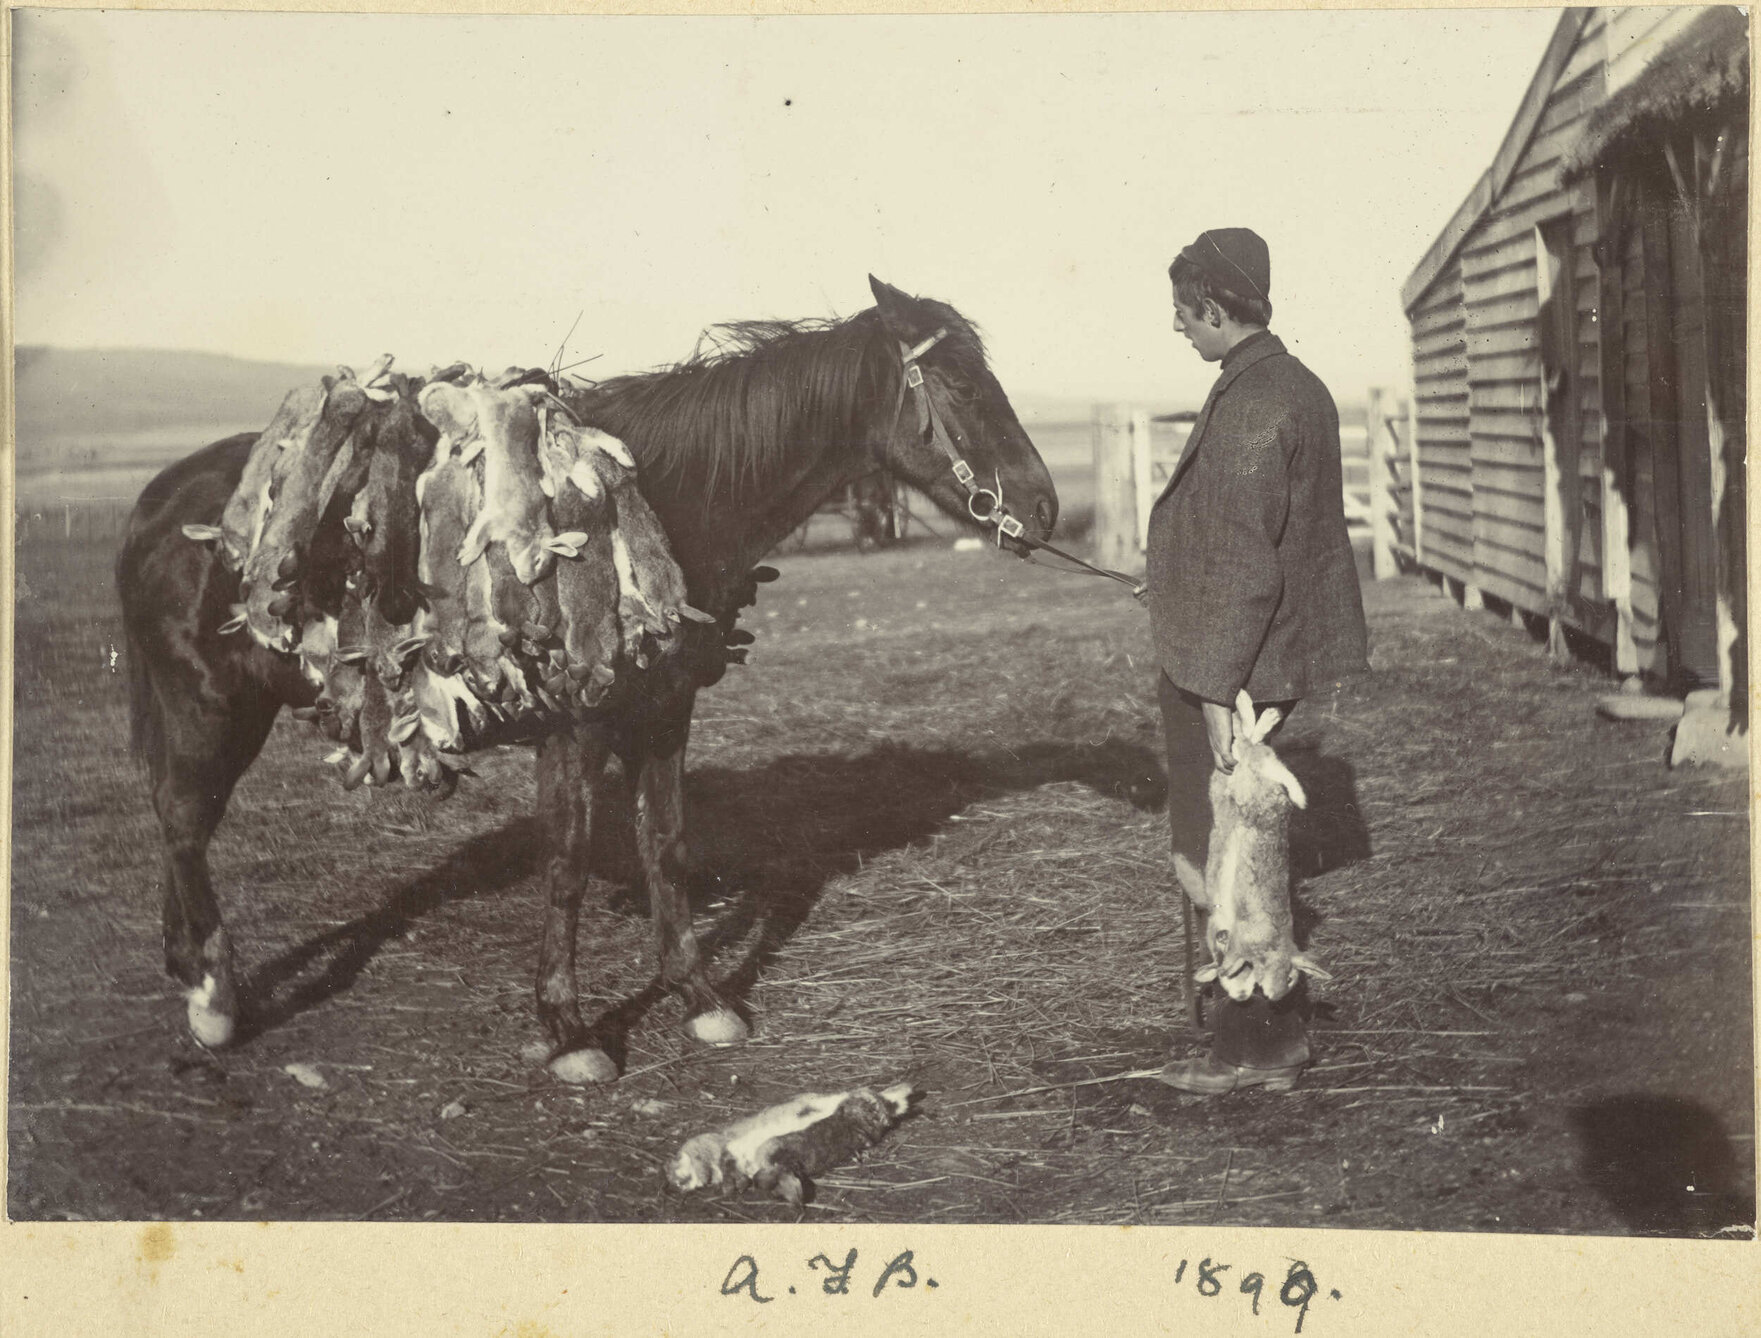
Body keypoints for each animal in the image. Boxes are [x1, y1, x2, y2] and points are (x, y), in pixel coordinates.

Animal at [116, 275, 1059, 1084]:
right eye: (962, 386)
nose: (1043, 508)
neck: (671, 506)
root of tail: (162, 497)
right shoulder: (574, 728)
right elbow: (565, 866)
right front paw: (568, 1033)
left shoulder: (666, 713)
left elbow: (666, 847)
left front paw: (698, 996)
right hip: (210, 706)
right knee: (184, 820)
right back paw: (212, 1002)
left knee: (176, 818)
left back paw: (190, 969)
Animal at [1195, 690, 1333, 1003]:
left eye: (1292, 979)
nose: (1272, 995)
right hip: (1243, 773)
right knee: (1251, 745)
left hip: (1250, 775)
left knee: (1254, 748)